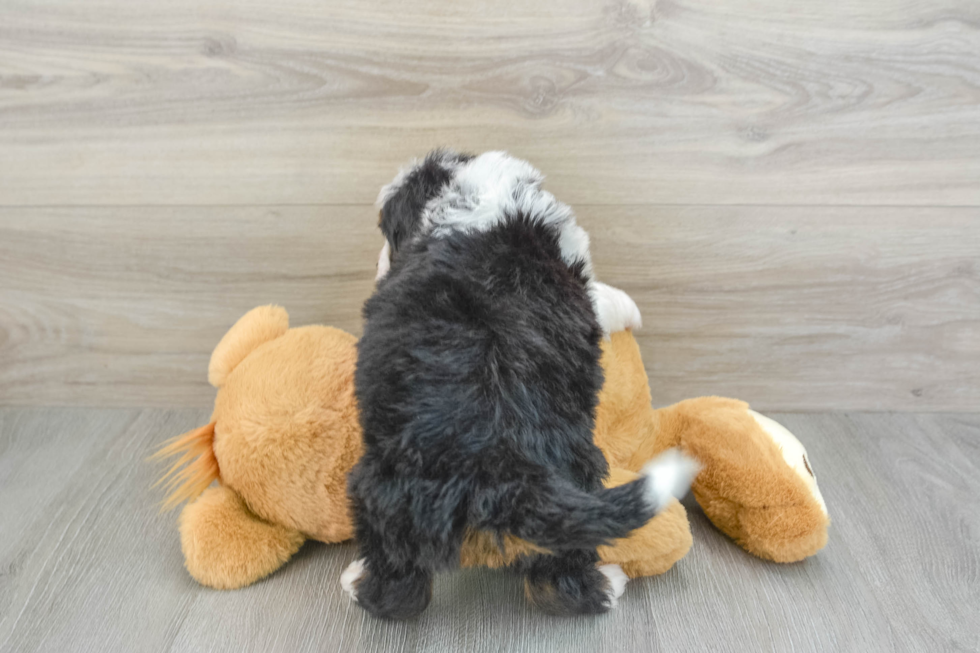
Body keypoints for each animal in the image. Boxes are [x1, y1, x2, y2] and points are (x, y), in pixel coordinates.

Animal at [342, 150, 696, 620]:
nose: (381, 267)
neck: (470, 195)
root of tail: (491, 464)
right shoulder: (574, 275)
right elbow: (600, 295)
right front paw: (629, 308)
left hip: (384, 491)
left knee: (402, 591)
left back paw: (355, 582)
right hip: (575, 479)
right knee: (556, 582)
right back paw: (610, 582)